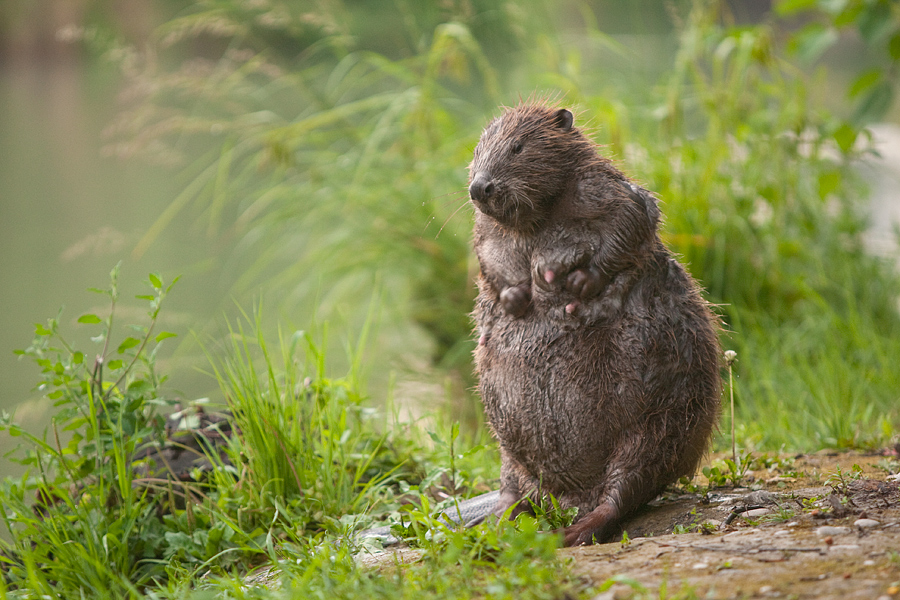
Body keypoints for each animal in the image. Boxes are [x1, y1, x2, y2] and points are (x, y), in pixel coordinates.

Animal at [468, 102, 720, 544]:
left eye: (518, 146)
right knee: (514, 491)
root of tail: (566, 498)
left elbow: (635, 217)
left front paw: (577, 285)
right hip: (509, 453)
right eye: (479, 148)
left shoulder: (601, 187)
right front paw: (516, 297)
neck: (539, 219)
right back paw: (497, 525)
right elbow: (485, 252)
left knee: (625, 489)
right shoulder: (486, 229)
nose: (480, 187)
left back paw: (568, 532)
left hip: (656, 424)